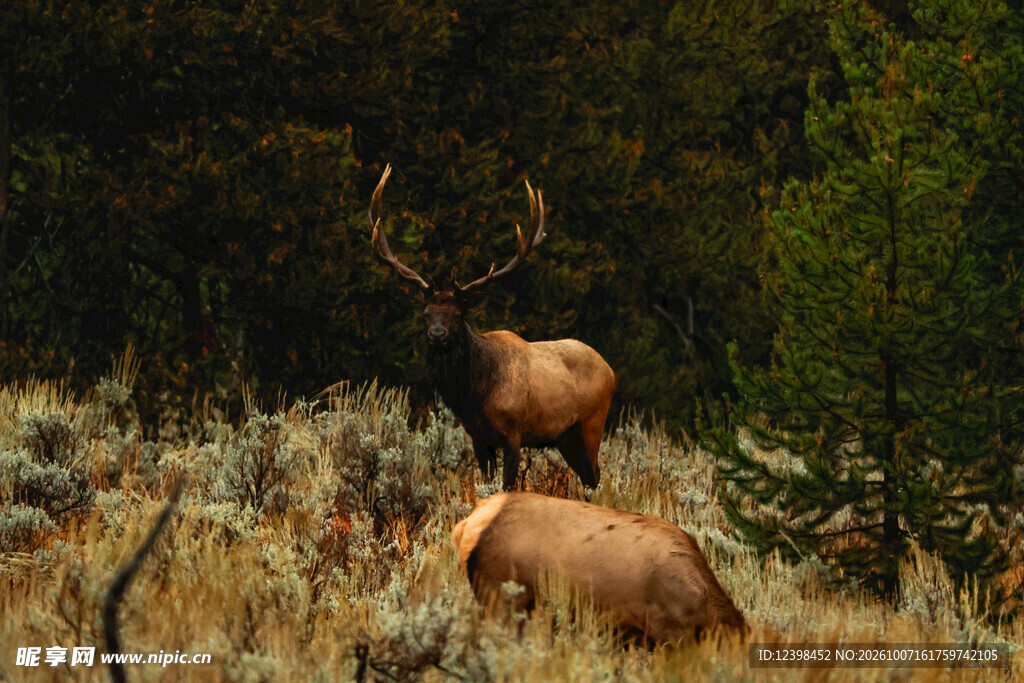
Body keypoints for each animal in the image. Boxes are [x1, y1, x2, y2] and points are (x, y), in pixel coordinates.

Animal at [369, 165, 615, 491]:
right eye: (426, 313)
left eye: (458, 314)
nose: (437, 335)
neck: (475, 395)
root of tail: (611, 371)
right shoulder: (478, 438)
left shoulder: (514, 431)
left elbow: (507, 484)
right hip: (566, 438)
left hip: (592, 424)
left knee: (595, 478)